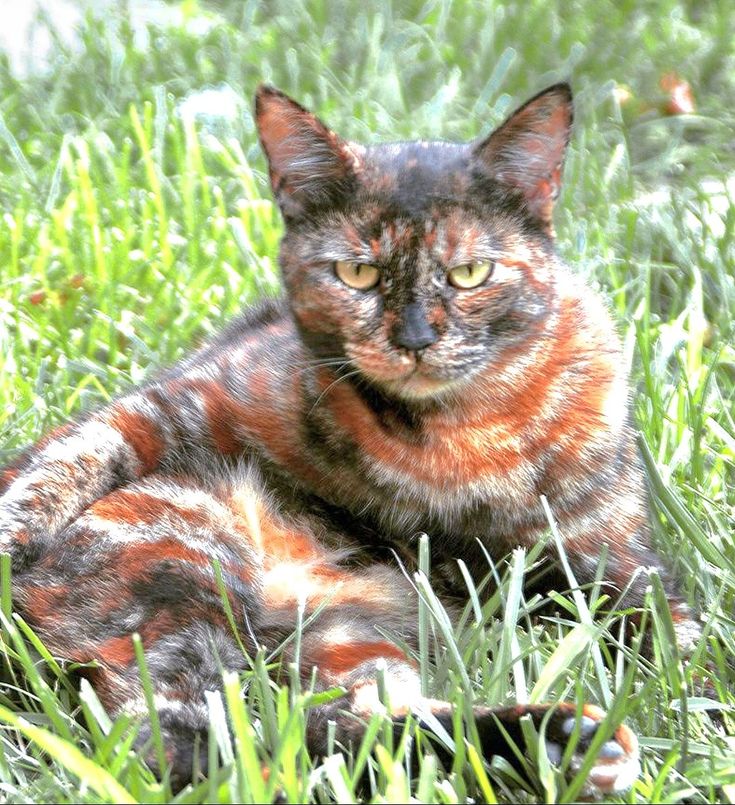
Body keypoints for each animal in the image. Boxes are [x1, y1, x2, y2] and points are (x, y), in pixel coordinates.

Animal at [0, 81, 700, 796]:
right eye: (356, 274)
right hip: (186, 564)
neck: (455, 442)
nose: (415, 338)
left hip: (348, 643)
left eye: (471, 273)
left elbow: (677, 642)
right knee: (178, 737)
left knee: (337, 730)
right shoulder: (185, 399)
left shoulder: (618, 567)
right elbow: (71, 456)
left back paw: (552, 744)